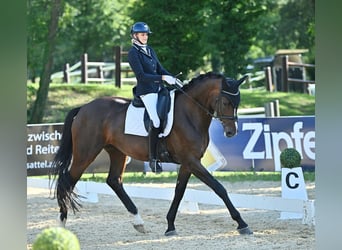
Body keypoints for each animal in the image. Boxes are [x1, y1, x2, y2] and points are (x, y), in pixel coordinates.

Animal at [50, 71, 252, 235]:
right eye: (225, 102)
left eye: (238, 102)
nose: (231, 132)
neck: (190, 113)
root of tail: (83, 108)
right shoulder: (191, 161)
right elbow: (219, 188)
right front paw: (242, 224)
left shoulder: (188, 163)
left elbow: (179, 191)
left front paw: (170, 226)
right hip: (85, 153)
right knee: (67, 181)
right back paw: (61, 223)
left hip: (117, 152)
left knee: (114, 181)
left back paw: (138, 222)